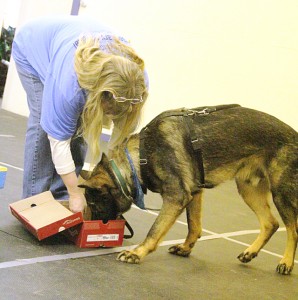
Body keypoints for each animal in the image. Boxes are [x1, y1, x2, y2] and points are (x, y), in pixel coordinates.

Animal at [78, 105, 296, 274]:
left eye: (94, 204)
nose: (88, 230)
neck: (140, 158)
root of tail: (295, 135)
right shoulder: (195, 193)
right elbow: (194, 226)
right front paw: (185, 248)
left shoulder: (176, 198)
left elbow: (155, 229)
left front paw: (136, 253)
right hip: (248, 190)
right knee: (271, 223)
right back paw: (250, 252)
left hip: (280, 195)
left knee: (292, 230)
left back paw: (286, 262)